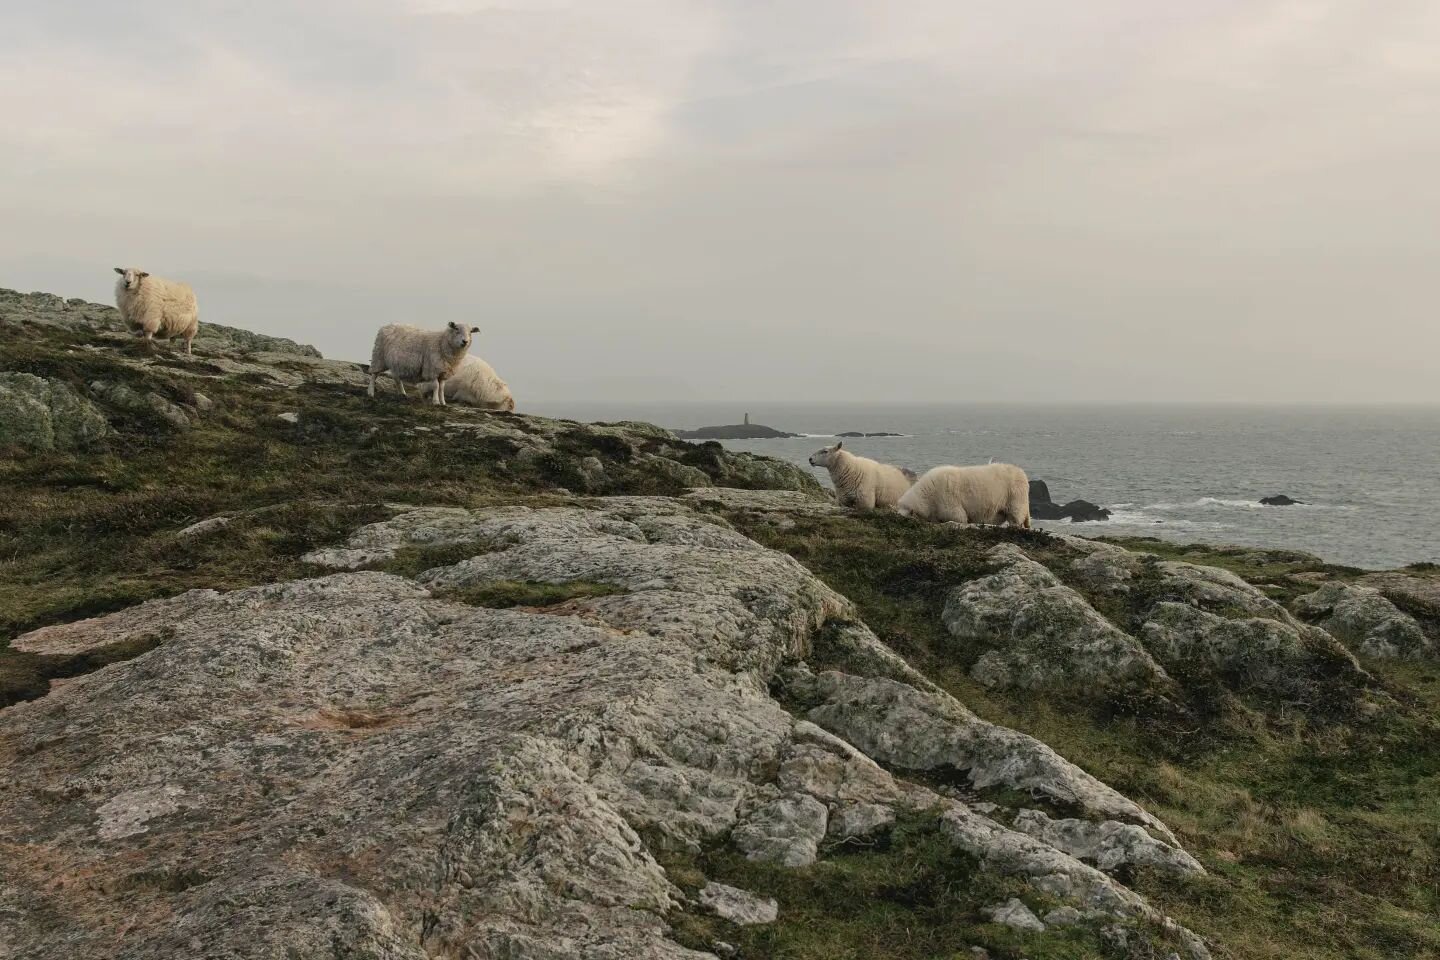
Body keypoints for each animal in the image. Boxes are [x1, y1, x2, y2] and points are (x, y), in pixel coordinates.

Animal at [892, 463, 1031, 529]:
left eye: (906, 516)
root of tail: (1021, 472)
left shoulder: (953, 510)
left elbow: (960, 519)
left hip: (1016, 502)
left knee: (1016, 521)